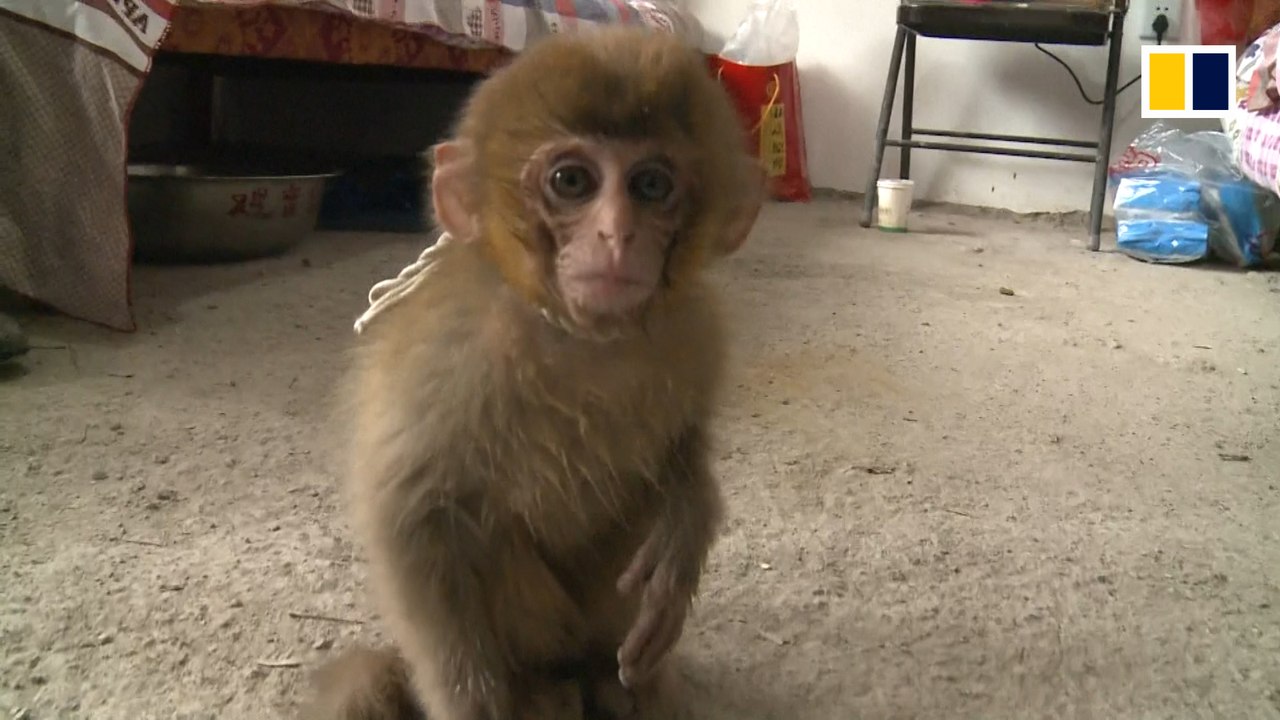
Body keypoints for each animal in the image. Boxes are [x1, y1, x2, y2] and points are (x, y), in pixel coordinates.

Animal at [305, 24, 764, 720]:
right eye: (572, 181)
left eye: (650, 186)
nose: (617, 235)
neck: (579, 338)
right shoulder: (449, 355)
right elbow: (412, 515)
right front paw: (472, 702)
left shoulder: (696, 331)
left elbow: (682, 443)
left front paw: (688, 520)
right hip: (541, 630)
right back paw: (545, 689)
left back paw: (615, 683)